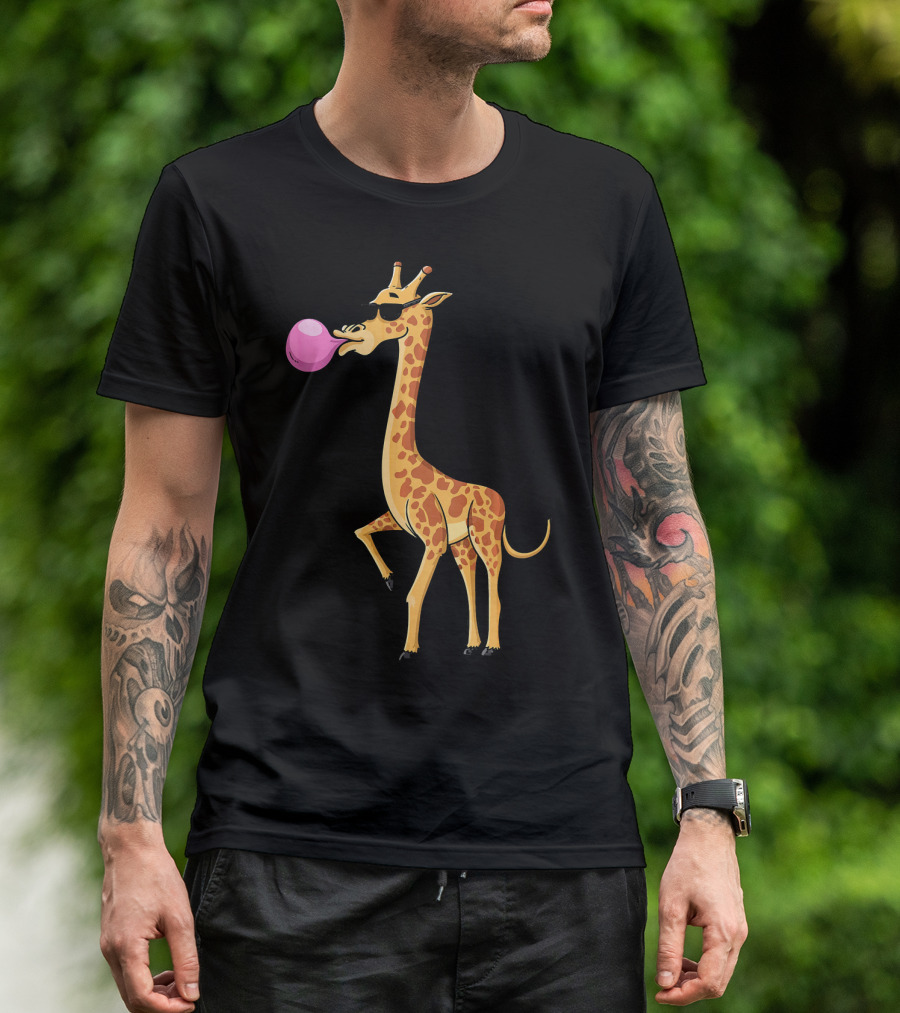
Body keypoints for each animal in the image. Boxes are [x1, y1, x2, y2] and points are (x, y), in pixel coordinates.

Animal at [333, 261, 550, 660]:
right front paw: (388, 578)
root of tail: (500, 500)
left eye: (389, 309)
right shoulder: (403, 523)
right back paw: (471, 645)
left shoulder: (432, 538)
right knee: (471, 583)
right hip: (462, 544)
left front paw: (408, 650)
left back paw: (491, 647)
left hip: (485, 536)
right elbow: (360, 530)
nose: (349, 333)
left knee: (494, 588)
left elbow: (415, 594)